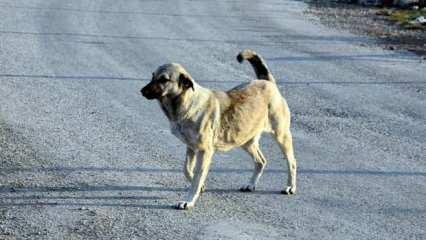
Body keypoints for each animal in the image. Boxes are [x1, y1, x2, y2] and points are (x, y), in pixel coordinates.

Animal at [140, 49, 296, 209]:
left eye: (163, 80)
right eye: (153, 76)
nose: (142, 91)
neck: (187, 103)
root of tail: (268, 82)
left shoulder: (204, 152)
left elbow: (197, 178)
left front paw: (189, 200)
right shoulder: (191, 148)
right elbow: (187, 169)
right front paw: (200, 187)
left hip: (281, 136)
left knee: (292, 162)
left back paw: (290, 187)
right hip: (245, 141)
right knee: (261, 161)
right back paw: (251, 184)